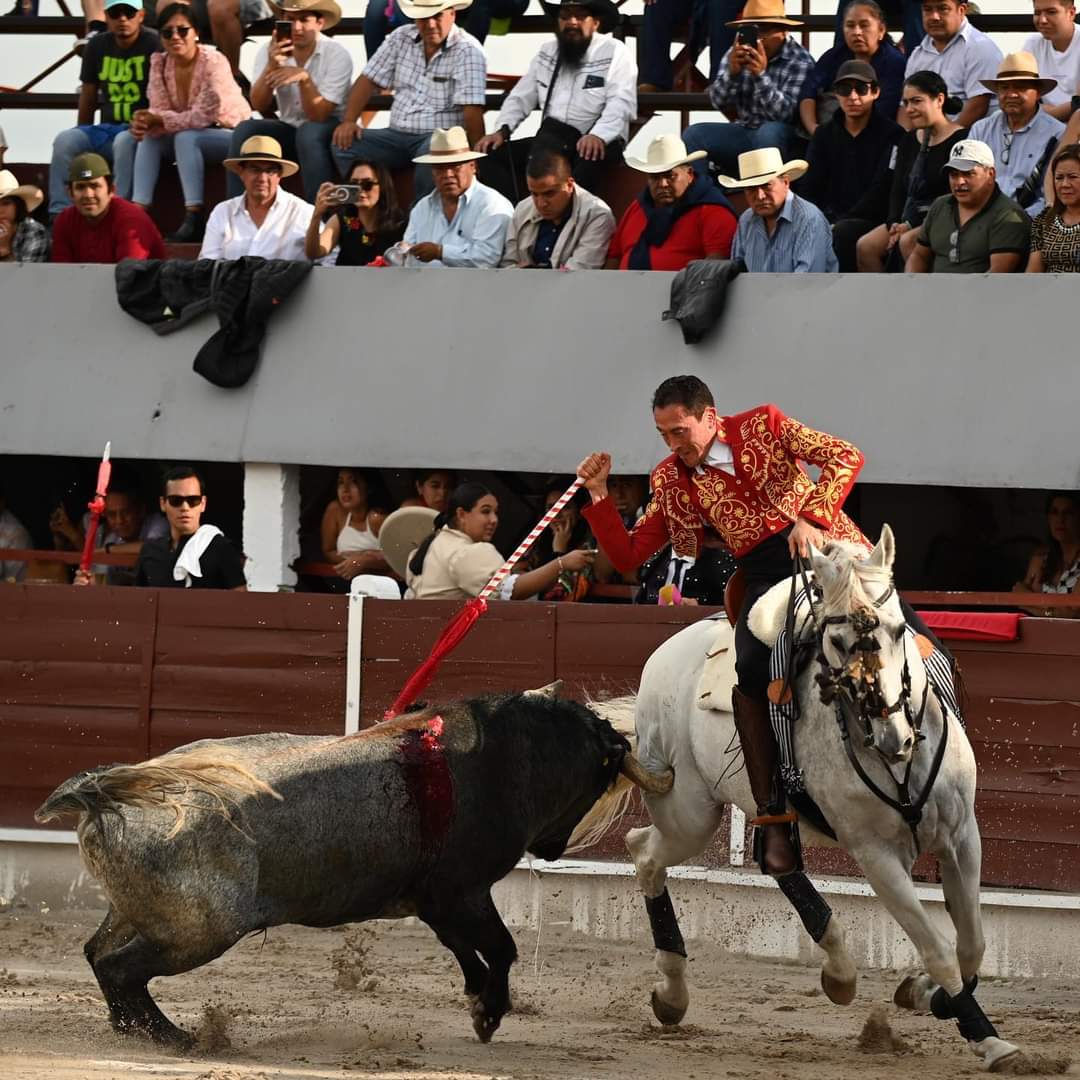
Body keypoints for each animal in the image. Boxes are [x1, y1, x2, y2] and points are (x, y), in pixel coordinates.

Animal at [591, 522, 1019, 1071]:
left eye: (898, 630)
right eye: (835, 641)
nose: (893, 738)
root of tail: (670, 648)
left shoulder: (963, 836)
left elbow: (973, 942)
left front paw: (930, 996)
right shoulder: (876, 855)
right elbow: (940, 948)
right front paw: (986, 1038)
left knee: (776, 861)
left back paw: (838, 969)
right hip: (690, 812)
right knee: (645, 851)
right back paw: (672, 993)